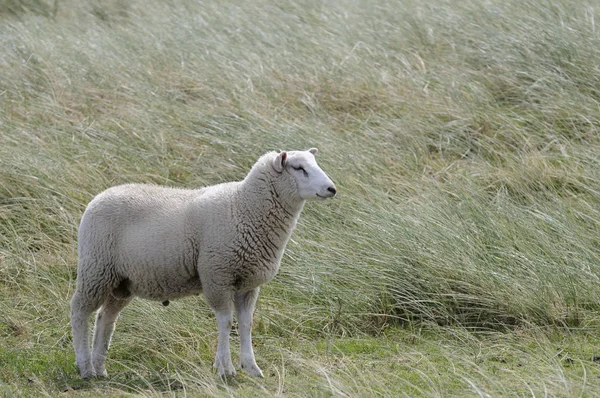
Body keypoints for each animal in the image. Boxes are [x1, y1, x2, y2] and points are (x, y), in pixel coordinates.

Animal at [70, 148, 338, 378]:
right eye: (299, 168)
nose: (332, 189)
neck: (244, 206)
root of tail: (98, 197)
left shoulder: (247, 284)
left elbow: (246, 323)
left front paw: (251, 367)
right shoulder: (218, 274)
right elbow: (226, 322)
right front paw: (226, 368)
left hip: (122, 281)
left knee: (106, 318)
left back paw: (100, 368)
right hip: (96, 268)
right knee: (80, 311)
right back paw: (85, 367)